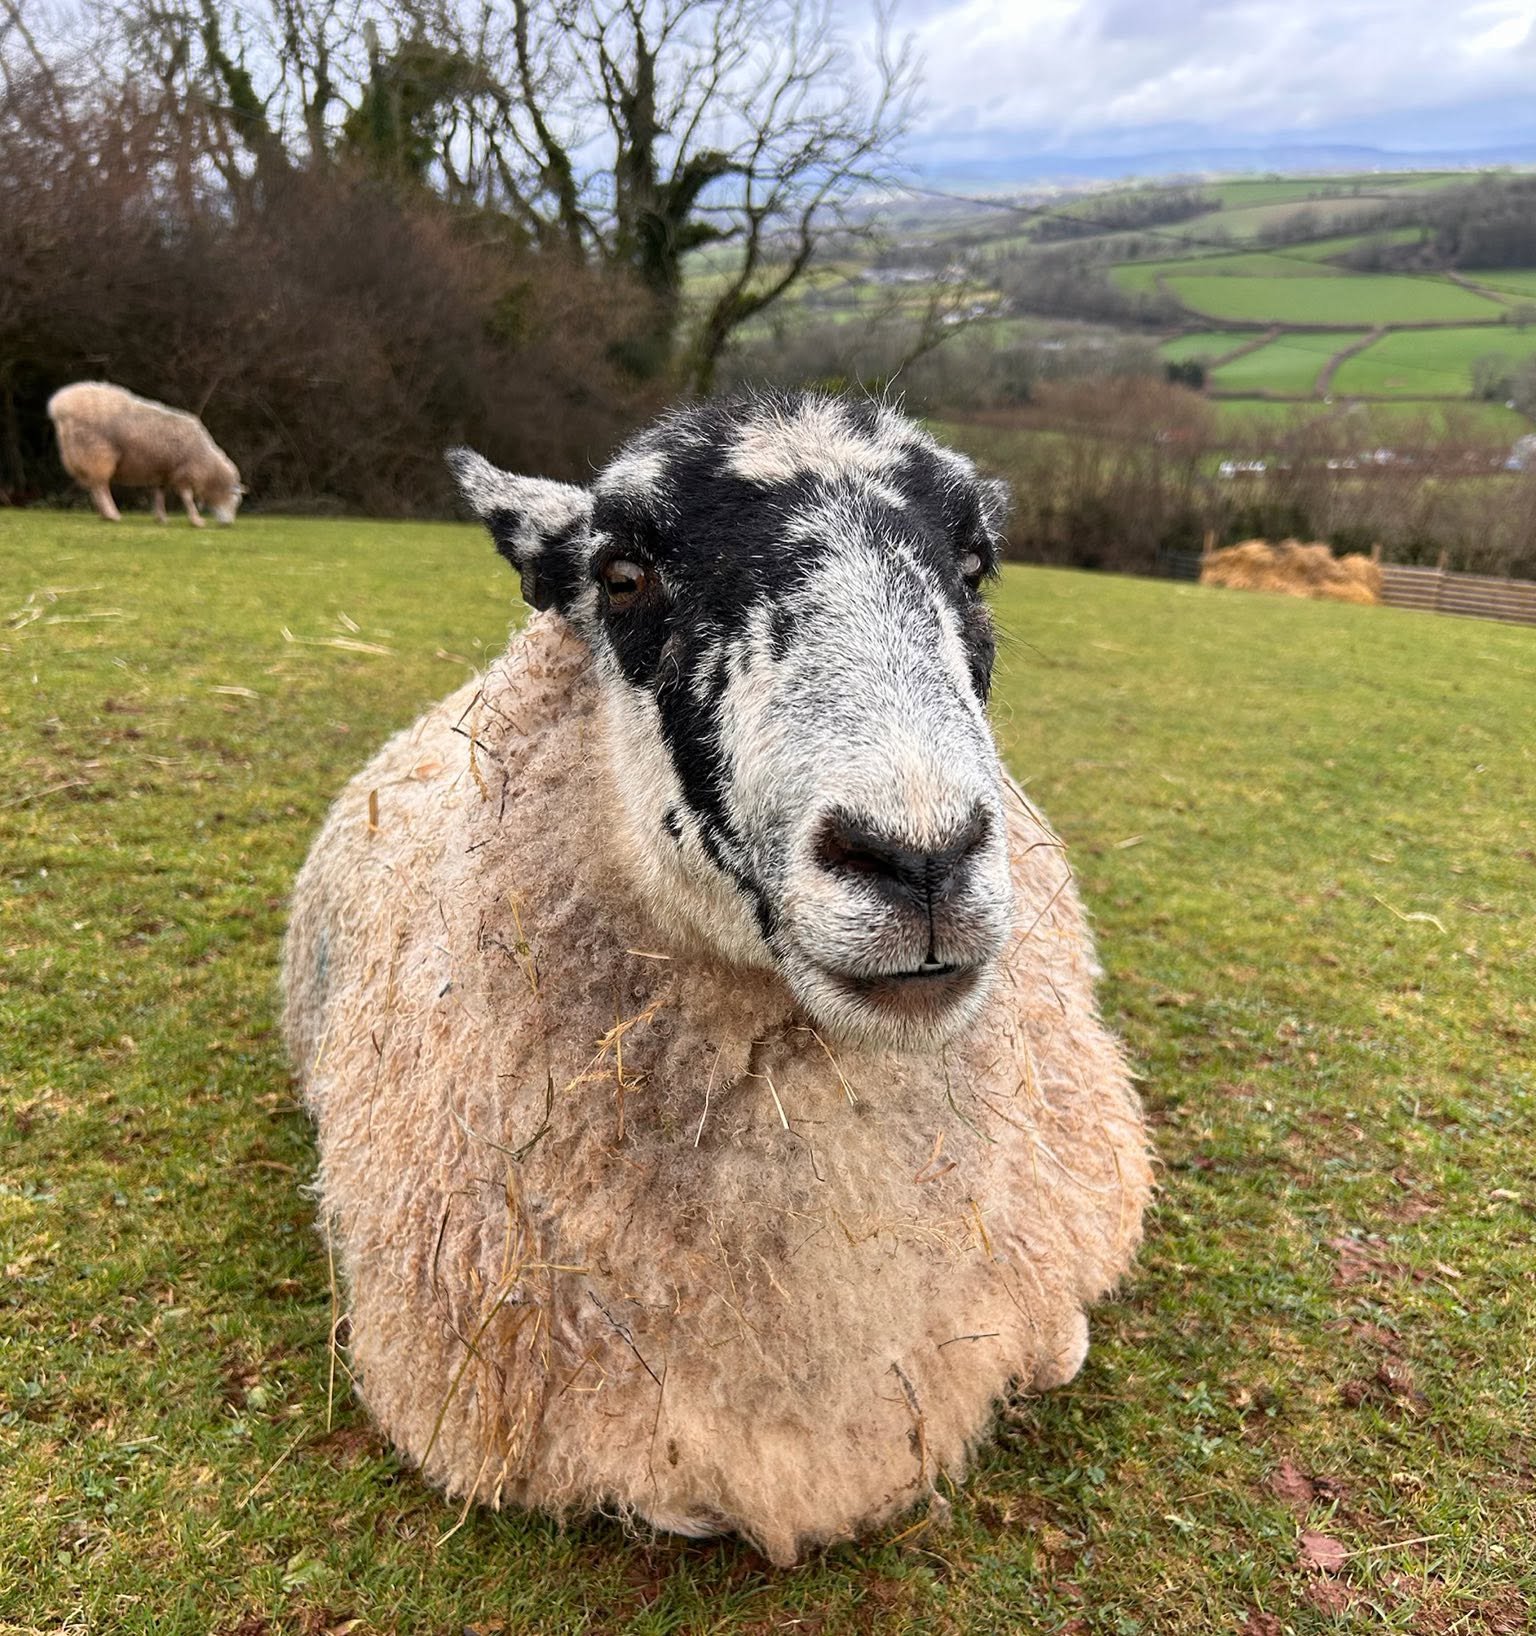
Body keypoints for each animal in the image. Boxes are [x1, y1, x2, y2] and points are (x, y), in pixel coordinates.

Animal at [47, 381, 242, 527]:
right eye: (234, 500)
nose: (228, 524)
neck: (207, 462)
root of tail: (60, 405)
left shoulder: (163, 471)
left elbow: (159, 495)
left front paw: (161, 517)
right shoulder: (186, 472)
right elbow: (187, 498)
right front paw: (196, 520)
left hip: (83, 456)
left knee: (94, 486)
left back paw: (104, 514)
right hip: (98, 453)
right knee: (101, 487)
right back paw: (112, 514)